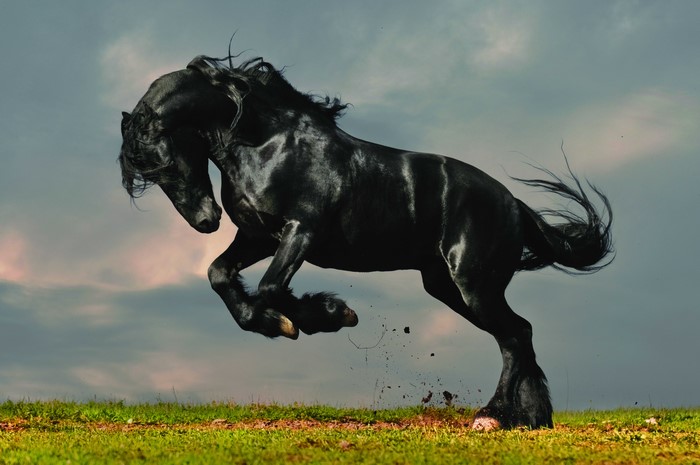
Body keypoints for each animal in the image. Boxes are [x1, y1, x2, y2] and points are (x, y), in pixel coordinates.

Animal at [118, 53, 613, 430]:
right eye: (148, 173)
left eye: (165, 161)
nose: (205, 221)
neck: (269, 143)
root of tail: (513, 204)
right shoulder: (258, 235)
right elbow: (220, 274)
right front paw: (275, 323)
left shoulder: (301, 231)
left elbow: (271, 287)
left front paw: (327, 315)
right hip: (448, 287)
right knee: (519, 334)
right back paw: (530, 418)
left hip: (474, 284)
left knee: (514, 335)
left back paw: (493, 416)